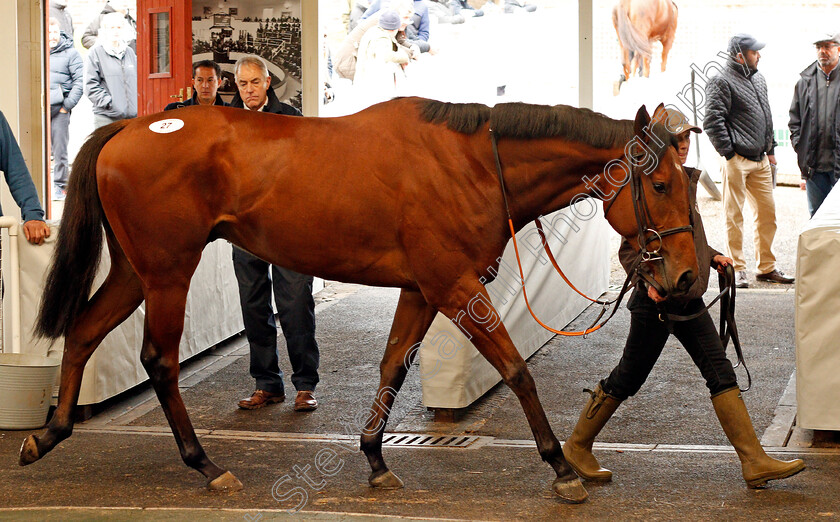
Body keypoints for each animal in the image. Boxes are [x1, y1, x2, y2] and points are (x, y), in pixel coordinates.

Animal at [23, 96, 700, 500]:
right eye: (660, 185)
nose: (688, 276)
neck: (474, 162)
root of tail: (130, 126)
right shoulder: (454, 287)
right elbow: (515, 371)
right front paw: (560, 466)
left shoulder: (421, 289)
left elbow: (392, 368)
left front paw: (375, 457)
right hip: (167, 272)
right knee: (159, 361)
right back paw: (204, 464)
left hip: (136, 272)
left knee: (83, 331)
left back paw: (49, 433)